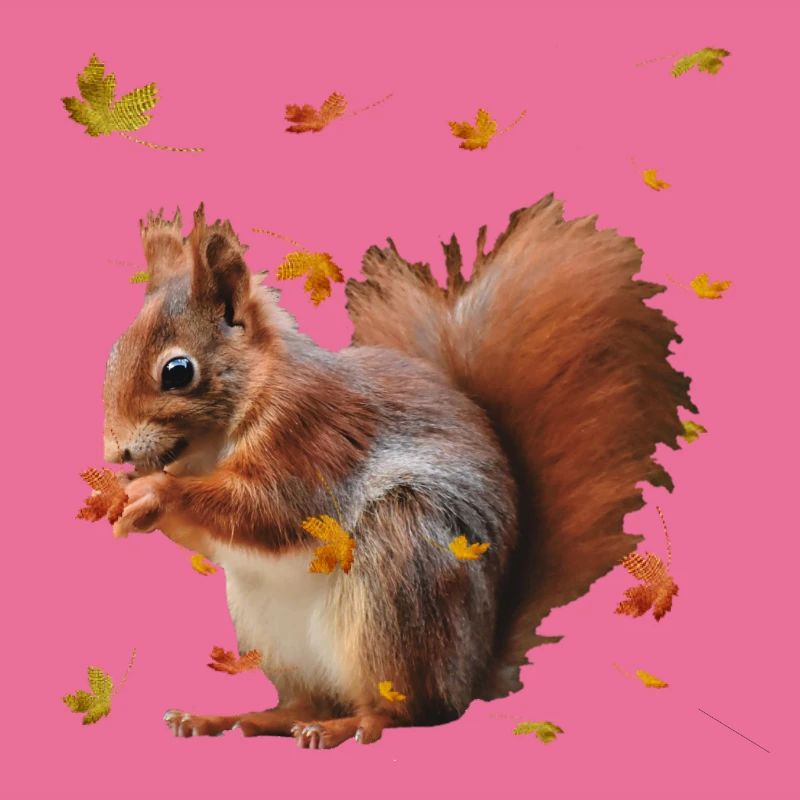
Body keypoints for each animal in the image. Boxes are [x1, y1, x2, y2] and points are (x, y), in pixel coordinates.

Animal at [102, 195, 694, 748]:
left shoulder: (309, 437)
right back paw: (230, 717)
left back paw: (346, 725)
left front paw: (156, 490)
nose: (115, 452)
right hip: (270, 631)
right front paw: (127, 497)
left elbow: (267, 509)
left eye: (178, 371)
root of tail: (470, 671)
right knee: (303, 701)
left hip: (401, 572)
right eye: (114, 352)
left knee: (404, 711)